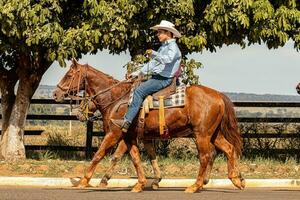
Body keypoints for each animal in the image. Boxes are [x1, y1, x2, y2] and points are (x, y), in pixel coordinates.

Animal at [52, 59, 245, 192]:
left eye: (69, 75)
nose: (55, 93)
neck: (117, 99)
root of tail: (218, 95)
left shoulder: (115, 133)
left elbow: (100, 154)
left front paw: (84, 181)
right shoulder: (130, 136)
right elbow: (137, 158)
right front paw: (141, 183)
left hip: (202, 134)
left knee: (206, 156)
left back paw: (195, 185)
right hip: (214, 133)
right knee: (228, 149)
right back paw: (236, 179)